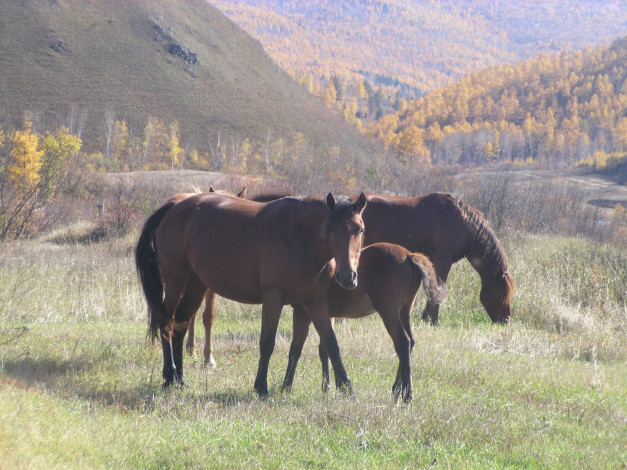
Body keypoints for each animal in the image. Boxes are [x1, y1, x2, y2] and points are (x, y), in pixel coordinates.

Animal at [134, 193, 366, 394]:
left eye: (360, 230)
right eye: (331, 228)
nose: (348, 276)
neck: (298, 237)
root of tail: (174, 206)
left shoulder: (314, 301)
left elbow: (331, 343)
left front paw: (348, 389)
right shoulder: (273, 299)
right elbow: (267, 343)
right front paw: (261, 388)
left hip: (196, 284)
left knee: (180, 325)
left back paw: (181, 380)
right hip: (176, 281)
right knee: (166, 323)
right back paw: (169, 375)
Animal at [280, 242, 446, 404]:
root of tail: (409, 255)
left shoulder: (302, 313)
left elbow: (296, 349)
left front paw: (286, 388)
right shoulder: (327, 315)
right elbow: (324, 349)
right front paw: (326, 389)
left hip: (388, 311)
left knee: (402, 342)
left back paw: (406, 396)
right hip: (405, 310)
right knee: (411, 341)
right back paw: (396, 391)